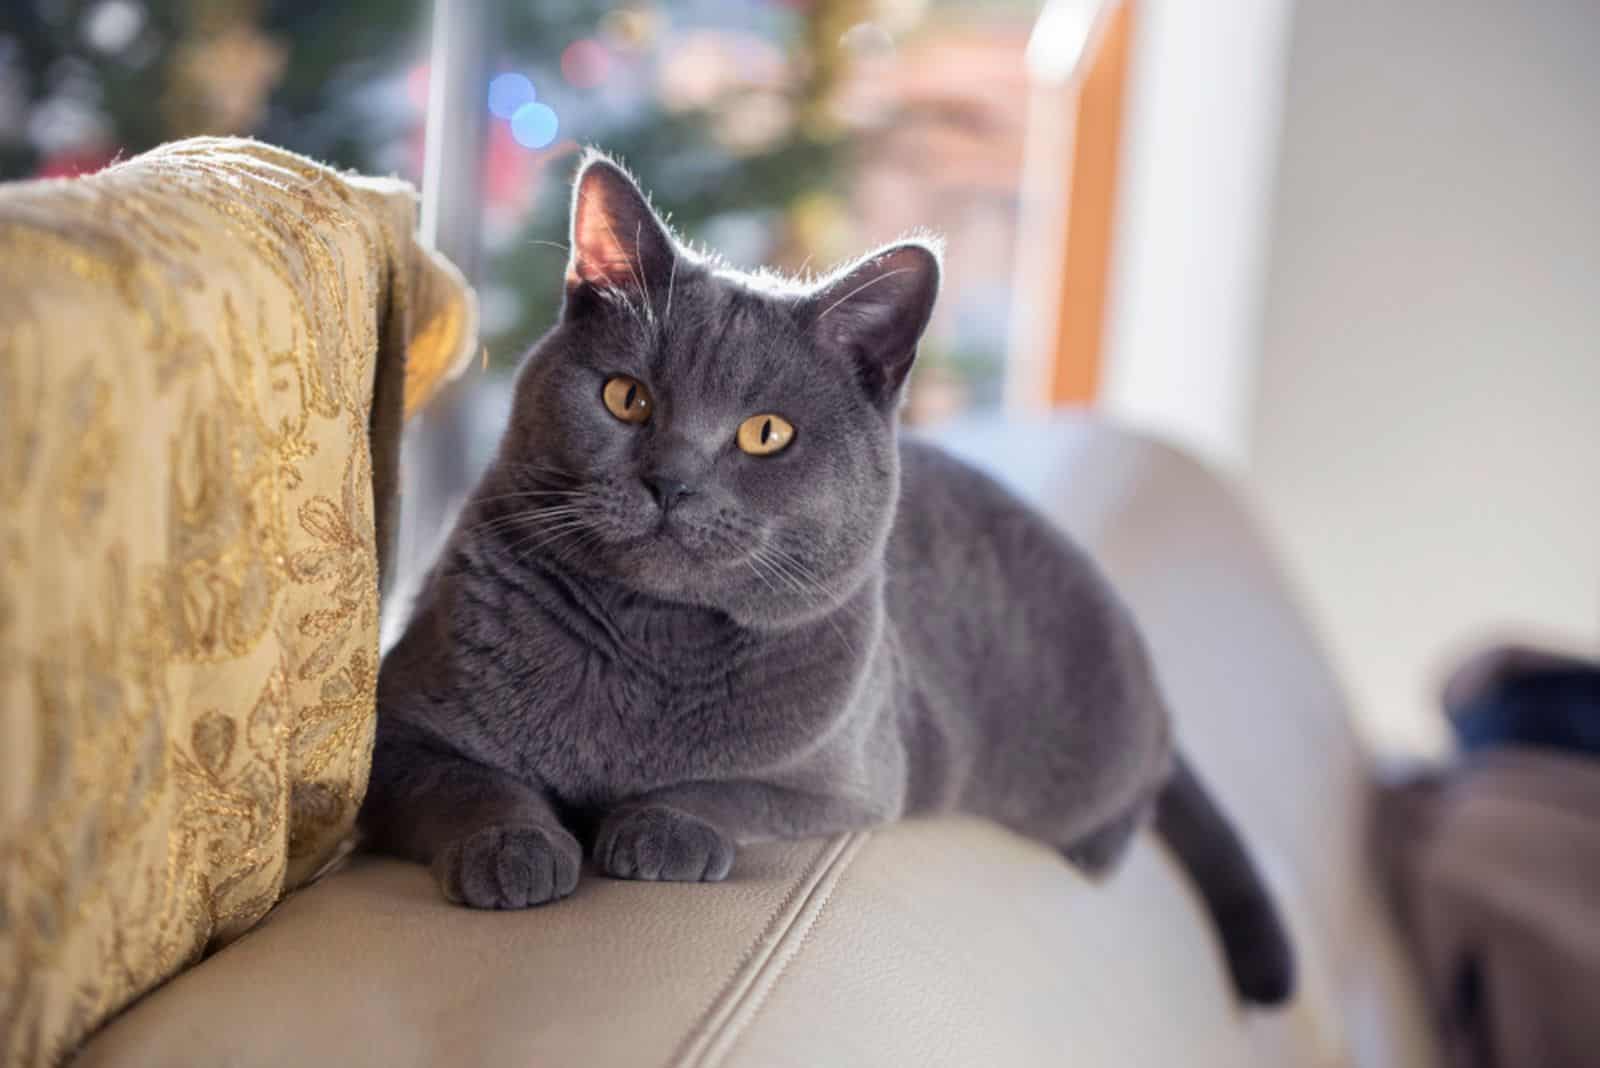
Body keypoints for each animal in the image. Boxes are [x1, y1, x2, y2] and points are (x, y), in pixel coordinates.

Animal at [356, 154, 1292, 1004]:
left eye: (766, 434)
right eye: (626, 398)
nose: (669, 482)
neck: (649, 640)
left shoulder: (849, 781)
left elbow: (731, 791)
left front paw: (659, 829)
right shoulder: (399, 730)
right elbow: (468, 779)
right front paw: (514, 849)